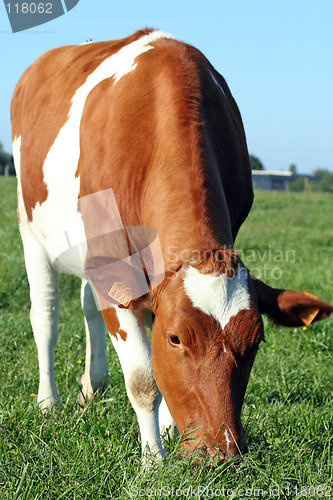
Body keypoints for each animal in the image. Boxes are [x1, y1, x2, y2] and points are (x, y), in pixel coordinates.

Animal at [11, 28, 332, 460]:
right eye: (176, 339)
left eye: (255, 342)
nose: (221, 451)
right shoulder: (114, 266)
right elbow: (144, 379)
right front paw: (153, 461)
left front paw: (169, 430)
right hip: (31, 229)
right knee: (45, 315)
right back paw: (48, 402)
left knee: (86, 305)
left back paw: (93, 385)